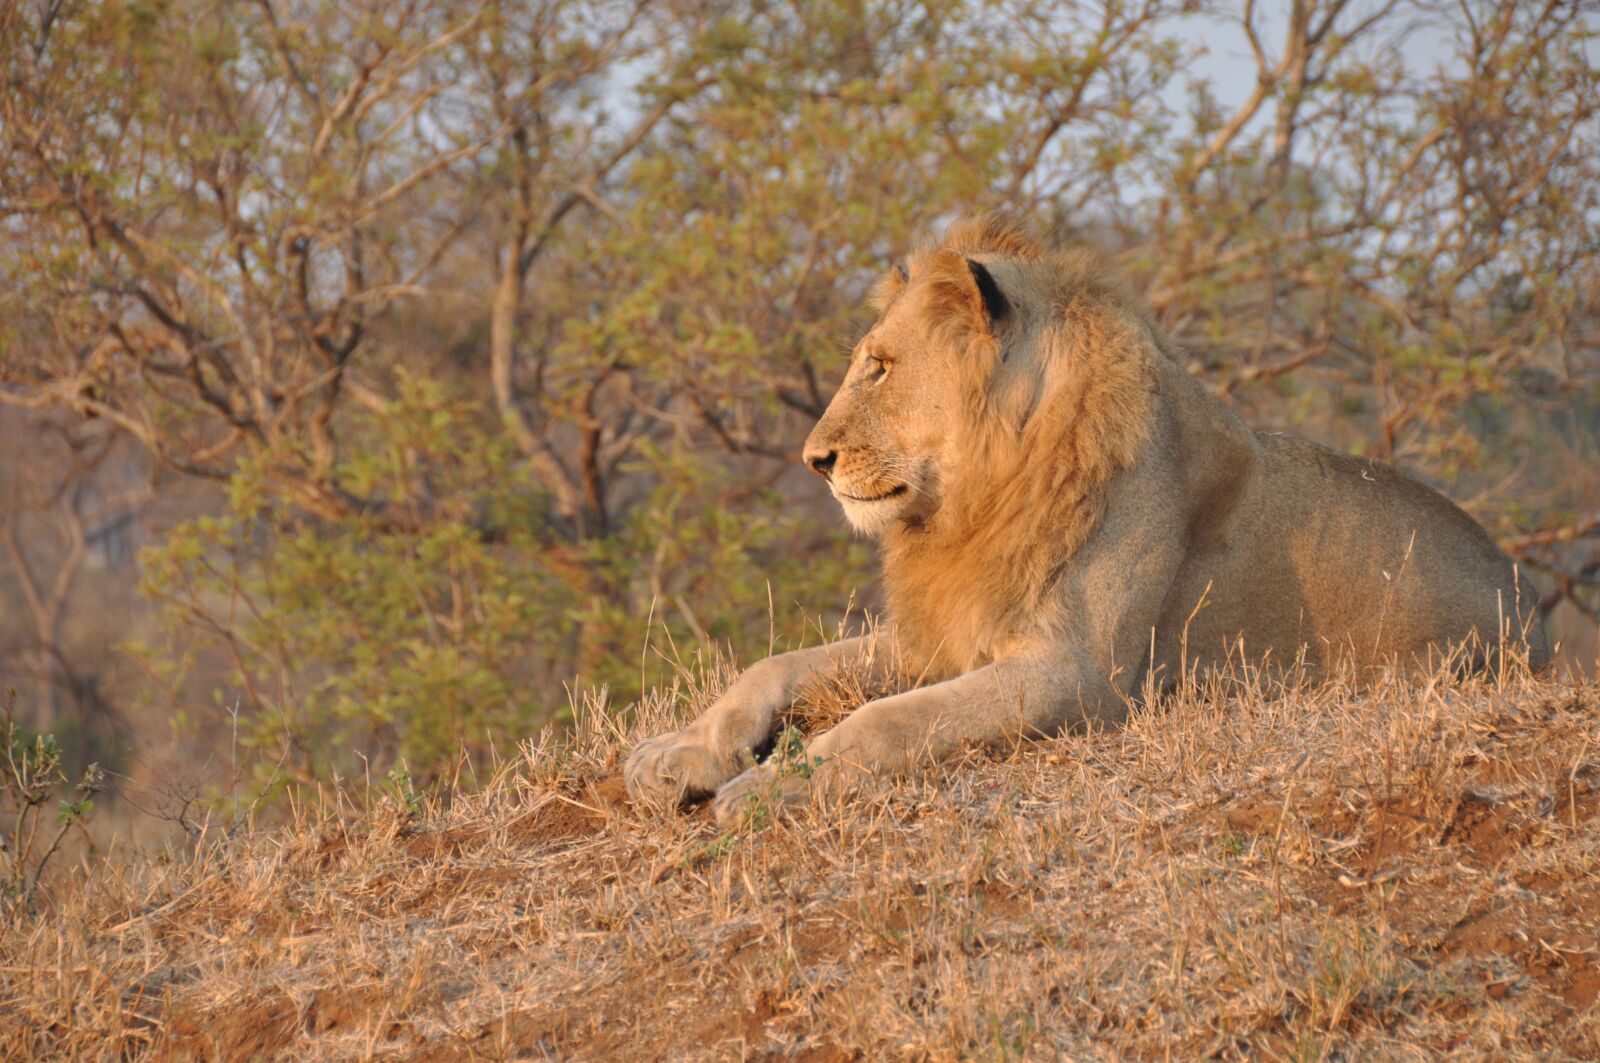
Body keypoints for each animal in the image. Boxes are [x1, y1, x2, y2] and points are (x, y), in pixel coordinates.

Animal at [625, 216, 1549, 826]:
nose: (814, 459)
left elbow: (888, 721)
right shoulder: (951, 632)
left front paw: (767, 788)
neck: (982, 496)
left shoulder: (1078, 673)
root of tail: (1530, 604)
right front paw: (680, 752)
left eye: (879, 368)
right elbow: (778, 664)